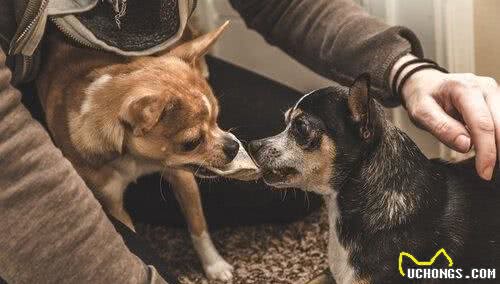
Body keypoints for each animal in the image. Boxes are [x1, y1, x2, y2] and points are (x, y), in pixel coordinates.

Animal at [35, 21, 248, 280]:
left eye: (217, 119)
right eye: (192, 142)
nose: (233, 146)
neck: (137, 161)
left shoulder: (182, 176)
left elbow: (198, 225)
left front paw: (214, 264)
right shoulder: (113, 205)